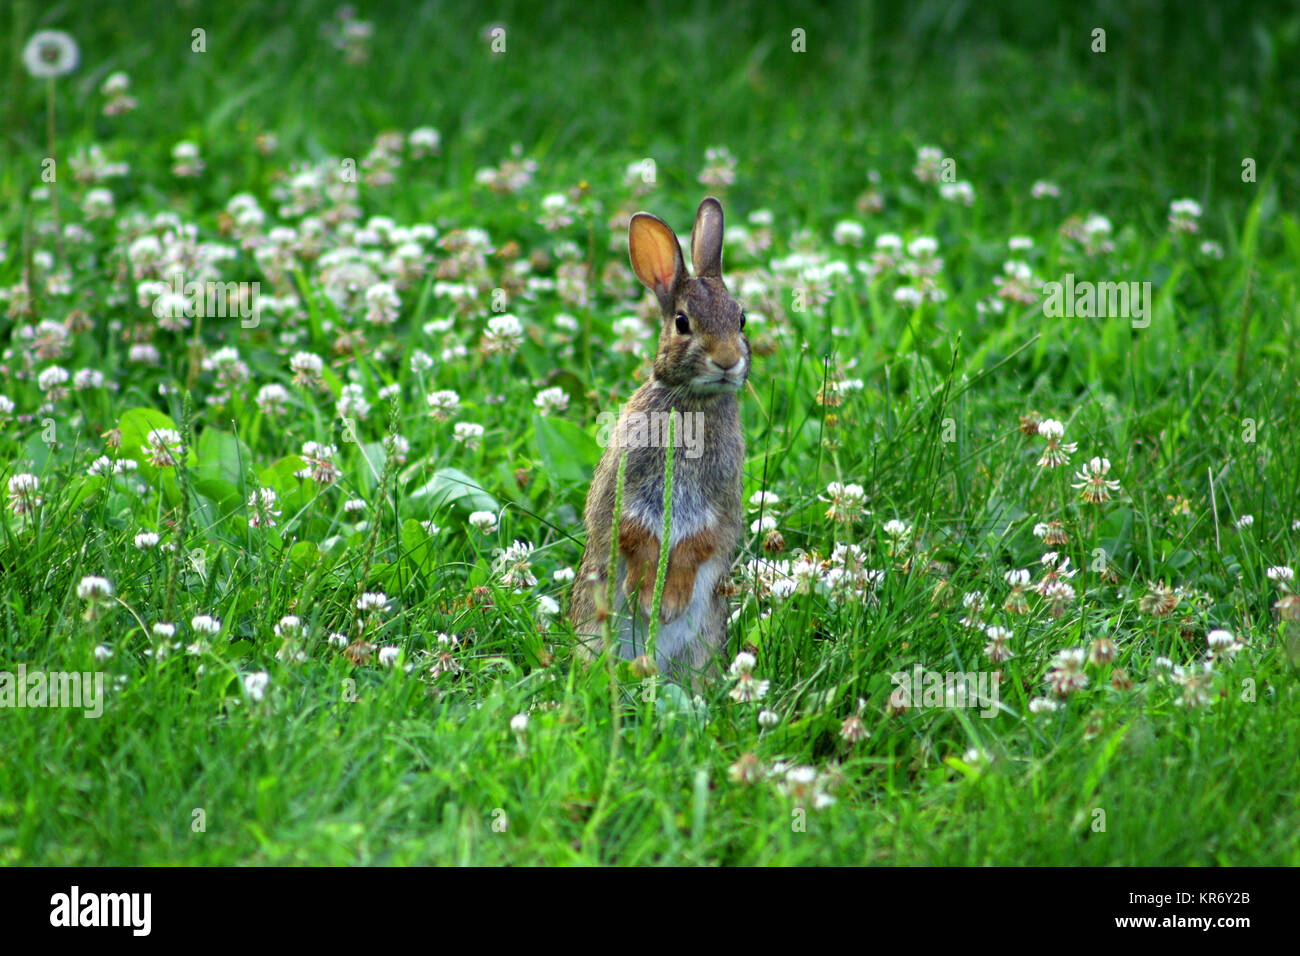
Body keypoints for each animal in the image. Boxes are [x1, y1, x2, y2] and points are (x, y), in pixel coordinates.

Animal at [569, 196, 749, 680]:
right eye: (682, 322)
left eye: (741, 318)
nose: (727, 360)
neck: (692, 399)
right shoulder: (625, 494)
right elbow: (638, 540)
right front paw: (650, 598)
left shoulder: (717, 506)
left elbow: (696, 546)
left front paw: (668, 602)